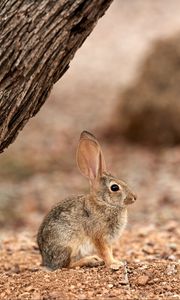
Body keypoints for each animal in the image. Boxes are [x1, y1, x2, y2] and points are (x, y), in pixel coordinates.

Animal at [37, 130, 136, 270]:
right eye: (114, 187)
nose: (134, 197)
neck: (103, 202)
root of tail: (46, 262)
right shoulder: (99, 237)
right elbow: (105, 252)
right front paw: (114, 263)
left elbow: (109, 250)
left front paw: (115, 261)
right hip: (68, 246)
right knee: (66, 265)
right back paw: (90, 260)